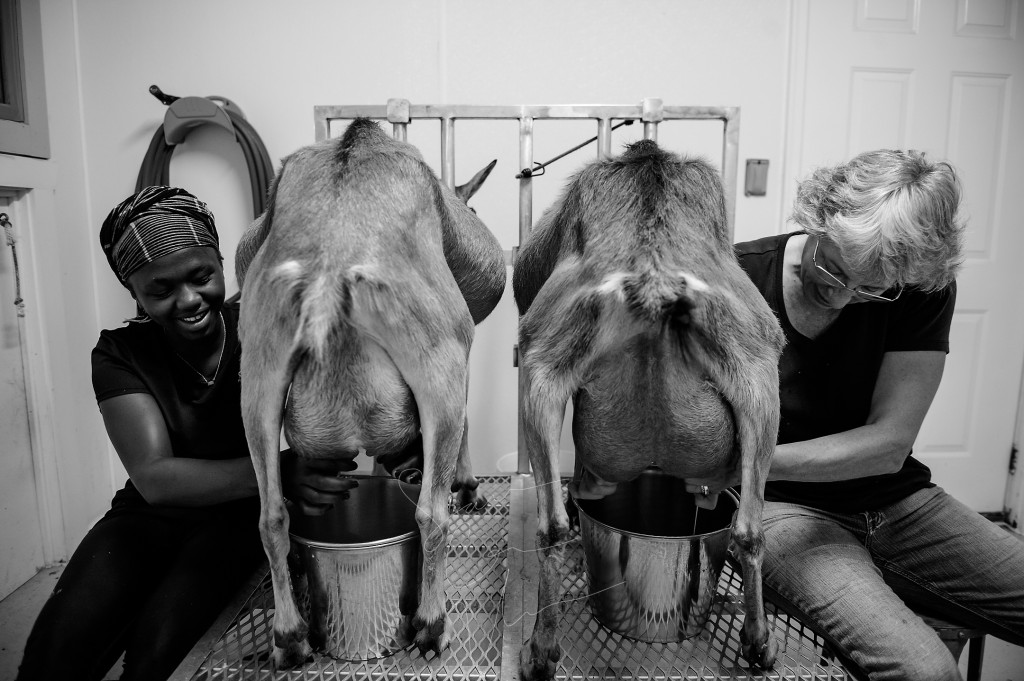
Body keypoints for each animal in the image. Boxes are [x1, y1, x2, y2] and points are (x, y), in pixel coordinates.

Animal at [238, 119, 507, 667]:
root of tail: (331, 263)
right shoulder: (458, 358)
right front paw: (469, 486)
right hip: (440, 361)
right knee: (431, 514)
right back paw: (431, 626)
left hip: (255, 376)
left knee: (271, 517)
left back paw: (289, 639)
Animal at [512, 140, 782, 675]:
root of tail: (655, 279)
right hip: (757, 374)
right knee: (747, 529)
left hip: (543, 372)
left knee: (558, 522)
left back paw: (543, 650)